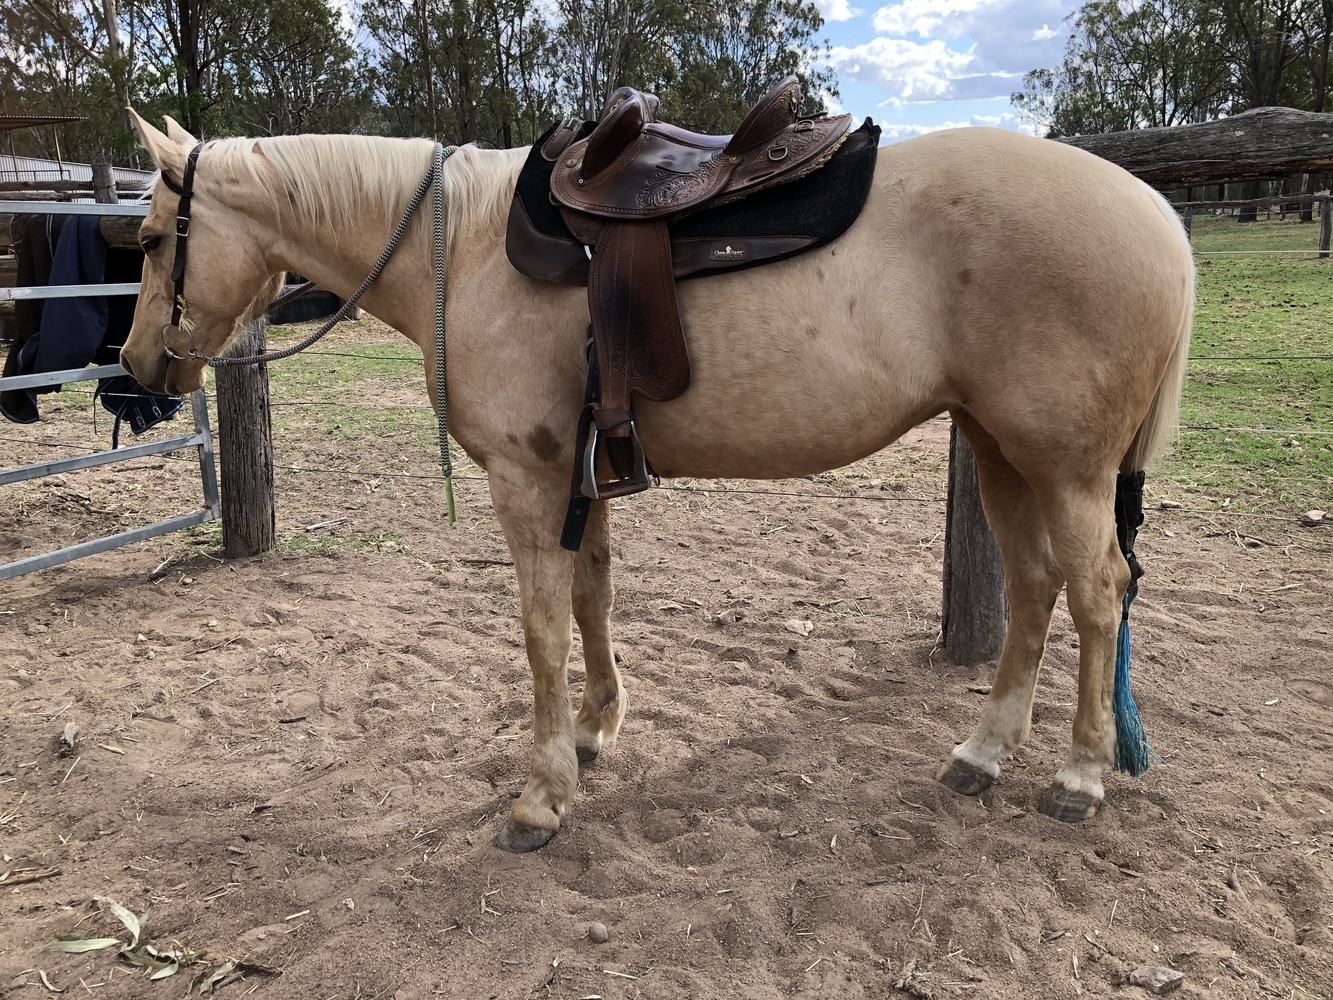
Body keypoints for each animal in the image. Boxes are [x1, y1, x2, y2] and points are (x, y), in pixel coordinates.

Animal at [119, 109, 1193, 853]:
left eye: (151, 239)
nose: (137, 368)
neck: (463, 247)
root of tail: (1153, 210)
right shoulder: (579, 477)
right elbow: (592, 599)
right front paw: (597, 731)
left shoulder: (527, 482)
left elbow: (542, 632)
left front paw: (542, 795)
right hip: (1001, 449)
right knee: (1034, 589)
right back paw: (980, 753)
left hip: (1063, 466)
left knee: (1097, 595)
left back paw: (1078, 774)